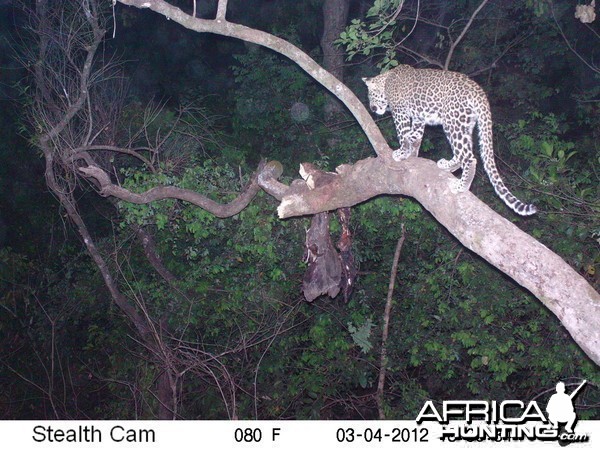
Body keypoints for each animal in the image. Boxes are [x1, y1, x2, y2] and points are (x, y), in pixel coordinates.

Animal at [360, 64, 536, 216]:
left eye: (370, 96)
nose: (373, 109)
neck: (386, 81)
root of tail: (478, 90)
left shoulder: (400, 112)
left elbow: (403, 134)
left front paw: (402, 153)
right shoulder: (418, 117)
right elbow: (415, 135)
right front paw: (411, 153)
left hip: (453, 122)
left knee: (469, 157)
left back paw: (461, 186)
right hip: (465, 125)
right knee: (462, 153)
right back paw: (448, 166)